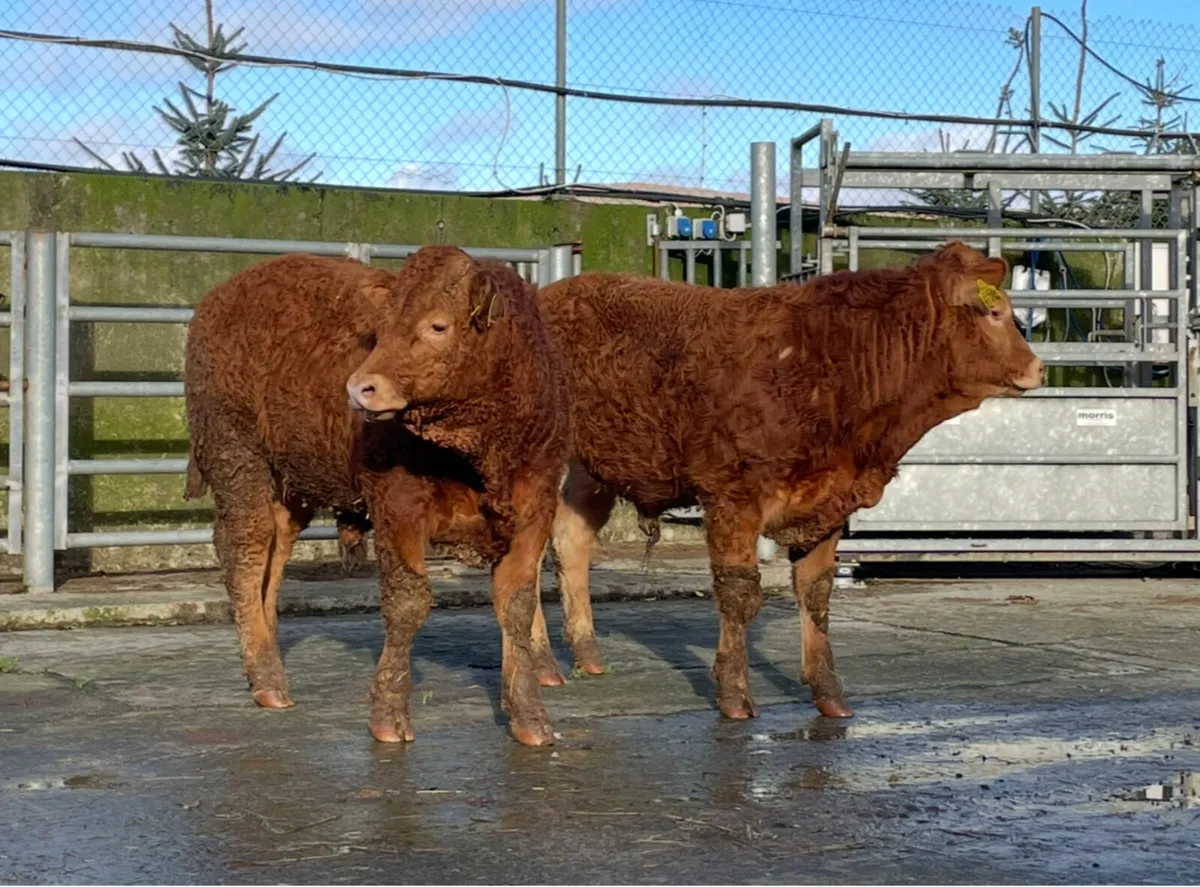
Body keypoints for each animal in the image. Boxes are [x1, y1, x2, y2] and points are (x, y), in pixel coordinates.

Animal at [184, 246, 571, 747]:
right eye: (381, 330)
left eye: (438, 325)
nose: (359, 386)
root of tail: (221, 295)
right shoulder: (398, 507)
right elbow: (408, 602)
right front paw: (388, 713)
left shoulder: (533, 512)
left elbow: (518, 606)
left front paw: (530, 717)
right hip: (237, 456)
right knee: (245, 553)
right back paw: (268, 679)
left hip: (291, 483)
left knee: (275, 549)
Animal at [532, 242, 1044, 720]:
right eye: (995, 313)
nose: (1038, 368)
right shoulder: (733, 496)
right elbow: (740, 595)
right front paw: (734, 693)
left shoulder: (828, 502)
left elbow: (816, 594)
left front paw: (829, 693)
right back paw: (542, 662)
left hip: (587, 474)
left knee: (570, 542)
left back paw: (585, 655)